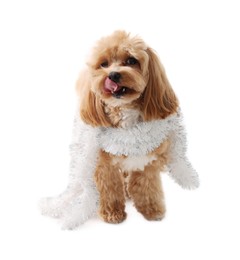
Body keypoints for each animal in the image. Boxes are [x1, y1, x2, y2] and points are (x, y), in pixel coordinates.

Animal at [76, 29, 179, 222]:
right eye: (104, 64)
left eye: (131, 60)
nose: (113, 75)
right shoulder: (104, 163)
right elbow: (110, 187)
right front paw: (112, 212)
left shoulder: (147, 160)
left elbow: (146, 184)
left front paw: (150, 208)